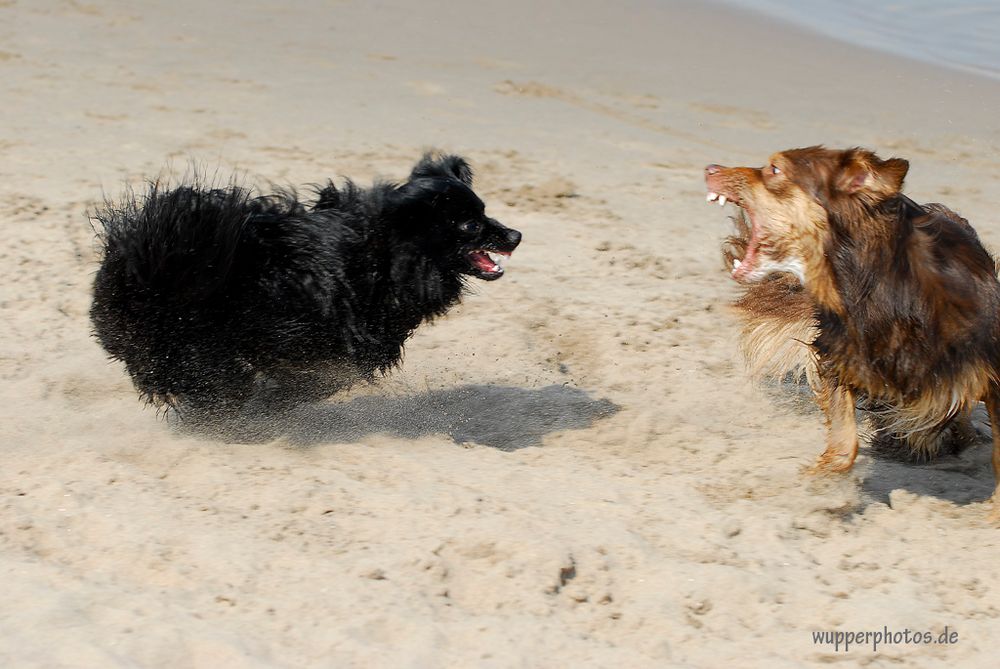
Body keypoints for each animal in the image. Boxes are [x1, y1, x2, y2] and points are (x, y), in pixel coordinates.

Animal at [91, 154, 524, 420]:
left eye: (485, 212)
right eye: (469, 224)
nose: (516, 235)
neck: (381, 253)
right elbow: (305, 381)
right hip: (193, 344)